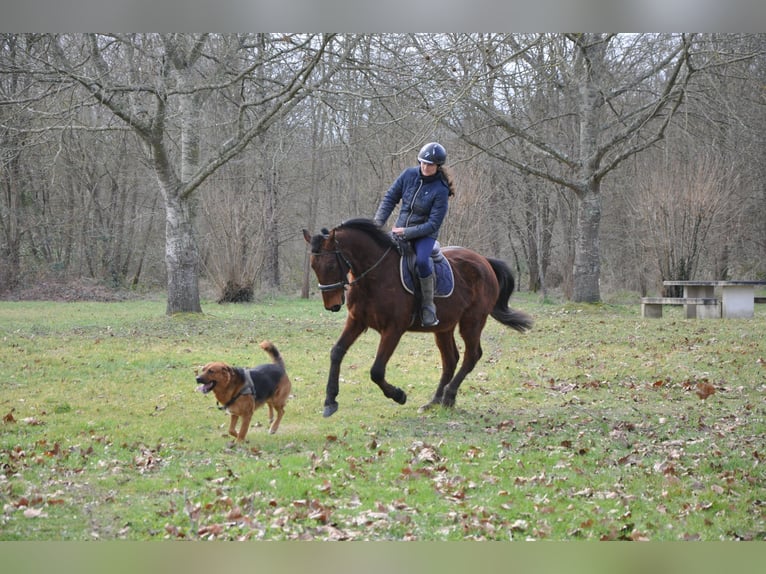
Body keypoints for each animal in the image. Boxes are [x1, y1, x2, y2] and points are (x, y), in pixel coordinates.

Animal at [302, 220, 536, 418]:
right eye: (313, 265)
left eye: (331, 265)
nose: (332, 305)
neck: (374, 275)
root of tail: (484, 261)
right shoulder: (356, 321)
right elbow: (337, 352)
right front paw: (330, 401)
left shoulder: (393, 329)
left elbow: (376, 371)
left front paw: (399, 395)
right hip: (444, 327)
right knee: (451, 360)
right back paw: (434, 401)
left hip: (472, 321)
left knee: (472, 355)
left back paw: (449, 396)